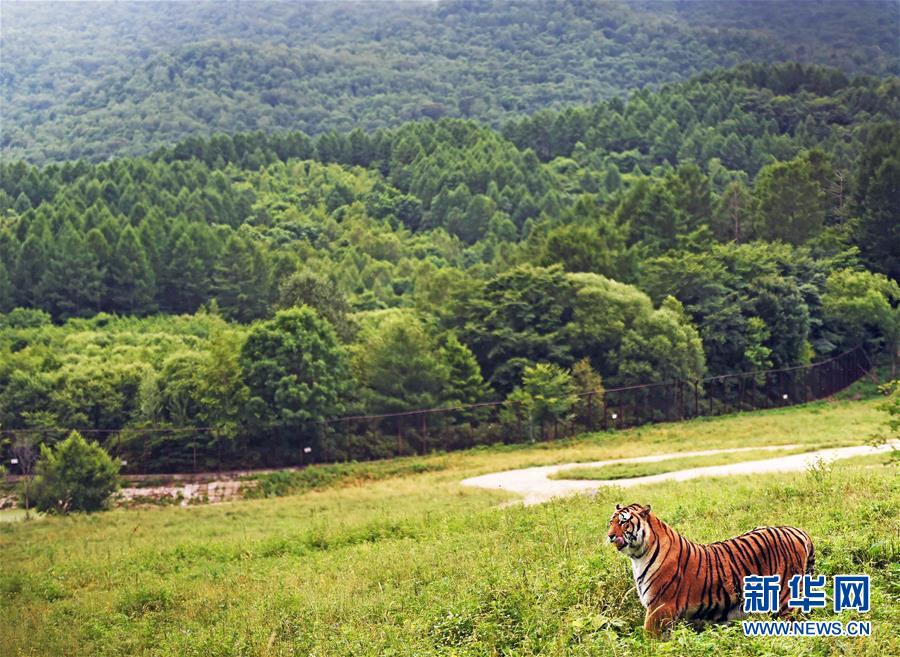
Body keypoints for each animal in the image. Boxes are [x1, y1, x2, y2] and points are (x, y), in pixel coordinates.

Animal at [607, 503, 815, 636]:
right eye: (611, 522)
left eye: (623, 522)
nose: (609, 536)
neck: (638, 556)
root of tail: (797, 530)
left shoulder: (659, 607)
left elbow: (650, 641)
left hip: (785, 600)